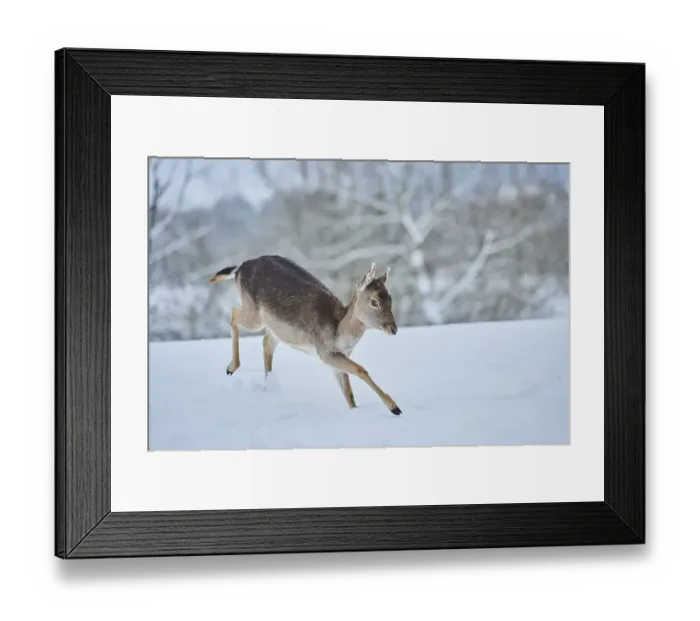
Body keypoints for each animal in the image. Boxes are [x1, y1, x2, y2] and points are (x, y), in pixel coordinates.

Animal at [208, 255, 402, 415]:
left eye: (390, 298)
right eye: (374, 301)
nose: (393, 328)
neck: (338, 331)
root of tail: (239, 267)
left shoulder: (341, 355)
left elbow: (349, 394)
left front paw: (357, 410)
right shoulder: (325, 352)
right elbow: (360, 369)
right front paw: (394, 407)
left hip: (275, 329)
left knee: (266, 342)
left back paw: (268, 388)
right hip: (253, 315)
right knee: (234, 314)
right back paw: (231, 368)